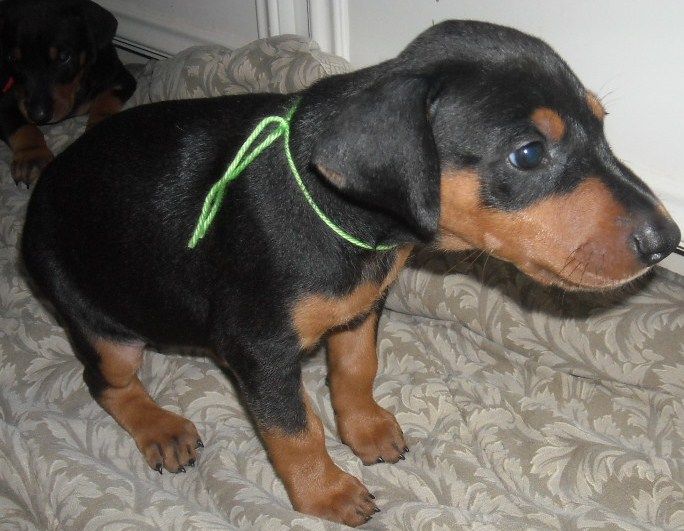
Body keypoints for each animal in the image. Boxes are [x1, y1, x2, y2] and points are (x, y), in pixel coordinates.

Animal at [0, 0, 136, 185]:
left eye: (64, 57)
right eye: (13, 59)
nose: (39, 116)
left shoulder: (120, 78)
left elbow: (105, 101)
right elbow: (22, 126)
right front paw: (32, 156)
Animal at [20, 19, 680, 528]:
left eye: (602, 125)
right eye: (529, 153)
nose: (667, 241)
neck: (345, 217)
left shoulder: (362, 307)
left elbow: (357, 368)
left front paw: (364, 431)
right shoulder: (257, 348)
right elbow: (292, 430)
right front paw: (327, 493)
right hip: (97, 321)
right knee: (106, 381)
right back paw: (160, 428)